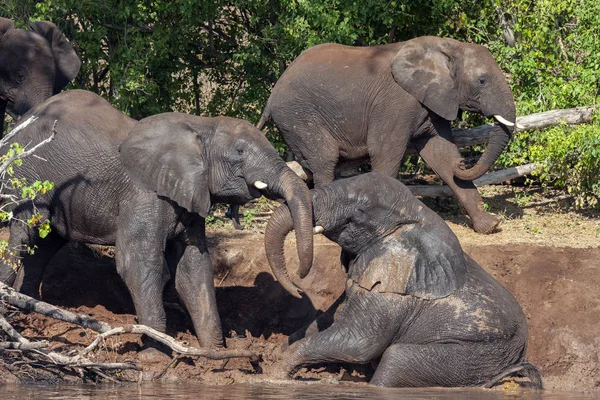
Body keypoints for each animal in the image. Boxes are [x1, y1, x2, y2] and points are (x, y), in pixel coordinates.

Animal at [1, 89, 314, 348]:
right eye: (240, 151)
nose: (300, 282)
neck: (200, 126)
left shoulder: (189, 197)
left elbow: (194, 268)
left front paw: (216, 354)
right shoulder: (144, 195)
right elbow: (140, 263)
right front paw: (157, 353)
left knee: (44, 244)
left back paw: (29, 306)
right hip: (26, 175)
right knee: (24, 234)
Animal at [258, 36, 520, 234]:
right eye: (482, 81)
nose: (464, 162)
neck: (447, 47)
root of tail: (271, 97)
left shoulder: (434, 101)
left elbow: (441, 155)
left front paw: (490, 226)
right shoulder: (396, 102)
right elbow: (385, 154)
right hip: (297, 115)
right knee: (325, 160)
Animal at [264, 173, 540, 390]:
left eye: (359, 212)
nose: (299, 281)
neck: (416, 212)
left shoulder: (394, 290)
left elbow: (358, 342)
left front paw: (277, 374)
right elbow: (329, 319)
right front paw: (275, 354)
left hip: (479, 355)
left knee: (395, 359)